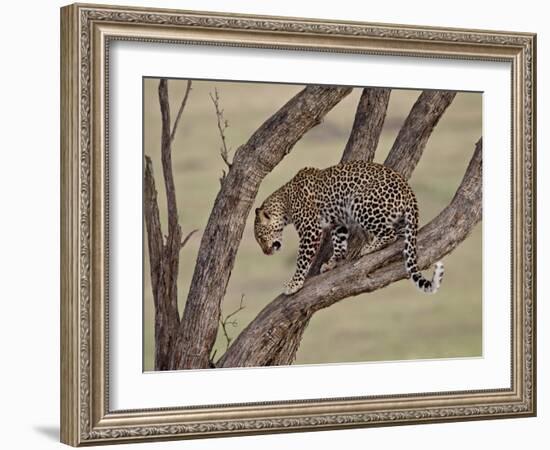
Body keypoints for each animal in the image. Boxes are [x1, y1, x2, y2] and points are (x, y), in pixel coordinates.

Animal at [256, 161, 446, 296]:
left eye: (260, 238)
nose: (265, 252)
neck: (285, 203)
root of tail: (408, 190)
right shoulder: (338, 223)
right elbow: (339, 244)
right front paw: (332, 262)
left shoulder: (310, 229)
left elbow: (302, 260)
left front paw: (293, 284)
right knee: (400, 235)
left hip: (360, 203)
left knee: (389, 234)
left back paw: (369, 247)